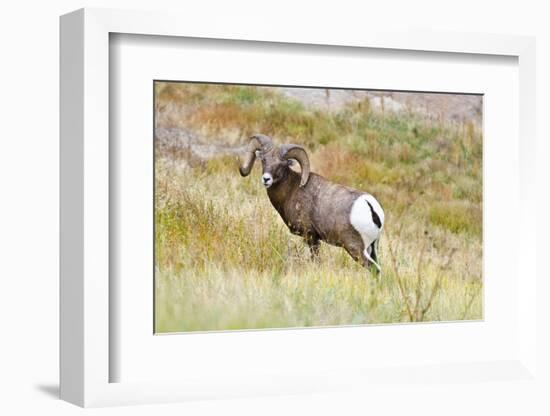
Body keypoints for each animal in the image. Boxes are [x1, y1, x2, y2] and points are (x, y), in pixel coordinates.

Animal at [239, 133, 386, 274]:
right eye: (264, 160)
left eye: (282, 164)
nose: (266, 179)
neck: (291, 190)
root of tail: (371, 208)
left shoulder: (311, 237)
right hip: (372, 248)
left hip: (355, 248)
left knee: (375, 269)